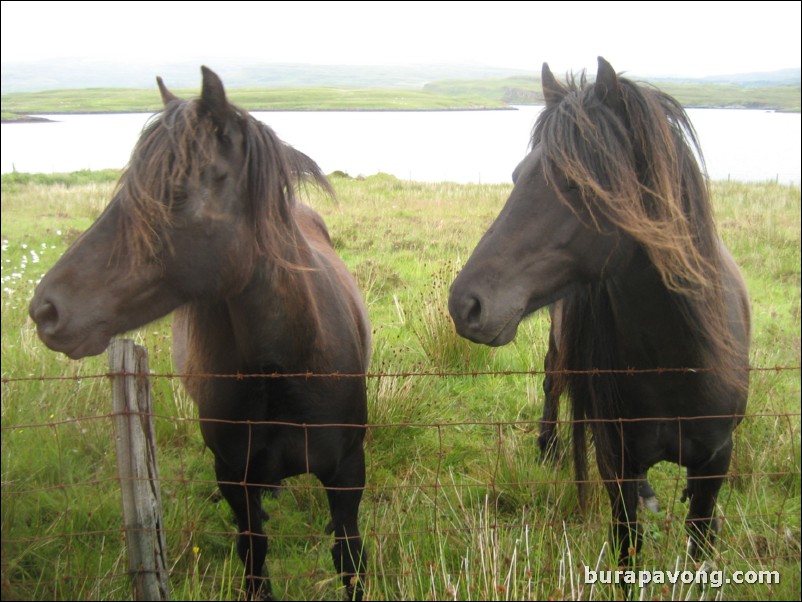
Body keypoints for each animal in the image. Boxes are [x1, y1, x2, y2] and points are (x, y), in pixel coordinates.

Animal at [27, 67, 372, 600]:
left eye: (175, 194)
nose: (47, 310)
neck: (282, 371)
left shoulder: (347, 473)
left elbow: (348, 559)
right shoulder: (235, 478)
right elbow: (254, 557)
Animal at [446, 56, 748, 564]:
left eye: (576, 182)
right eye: (517, 175)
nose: (465, 304)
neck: (677, 359)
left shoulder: (713, 465)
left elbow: (700, 543)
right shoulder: (616, 465)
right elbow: (627, 549)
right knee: (552, 382)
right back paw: (547, 447)